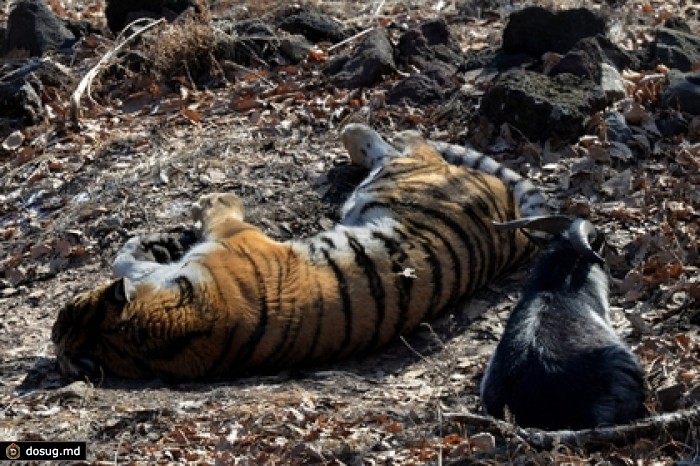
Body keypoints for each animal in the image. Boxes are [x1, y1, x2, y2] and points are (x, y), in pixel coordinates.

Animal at [53, 124, 548, 382]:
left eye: (64, 310)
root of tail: (513, 223)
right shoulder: (234, 240)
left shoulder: (234, 236)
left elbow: (145, 249)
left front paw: (177, 223)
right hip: (399, 176)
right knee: (409, 141)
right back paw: (359, 126)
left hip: (400, 179)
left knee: (409, 142)